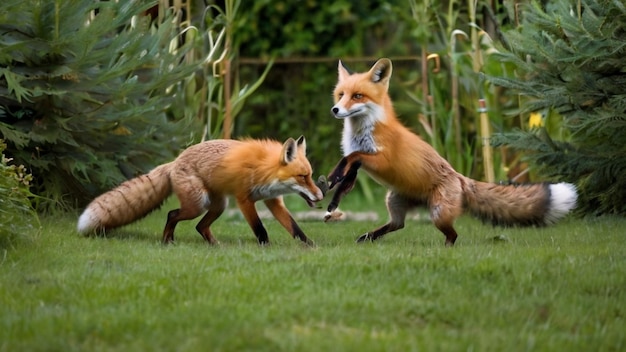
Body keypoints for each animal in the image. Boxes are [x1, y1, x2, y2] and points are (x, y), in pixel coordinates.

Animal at [77, 136, 322, 246]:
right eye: (303, 177)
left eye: (310, 175)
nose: (320, 196)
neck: (265, 169)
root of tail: (174, 162)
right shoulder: (244, 199)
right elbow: (260, 228)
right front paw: (266, 247)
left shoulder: (273, 201)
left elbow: (294, 227)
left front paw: (309, 246)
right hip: (197, 204)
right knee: (172, 214)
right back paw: (167, 241)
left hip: (218, 205)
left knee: (200, 226)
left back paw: (215, 245)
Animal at [326, 58, 576, 245]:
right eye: (340, 95)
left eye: (357, 96)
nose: (335, 110)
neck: (364, 131)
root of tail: (460, 177)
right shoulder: (360, 164)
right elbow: (346, 172)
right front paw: (333, 196)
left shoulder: (382, 159)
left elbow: (352, 156)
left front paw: (332, 177)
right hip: (394, 200)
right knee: (398, 224)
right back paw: (369, 236)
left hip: (438, 214)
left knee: (453, 234)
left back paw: (446, 249)